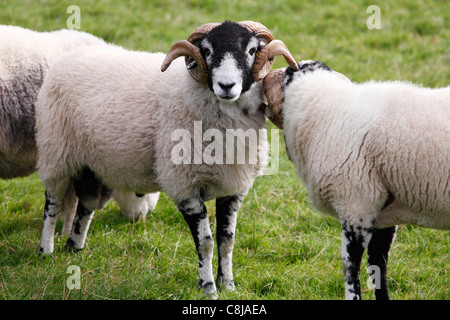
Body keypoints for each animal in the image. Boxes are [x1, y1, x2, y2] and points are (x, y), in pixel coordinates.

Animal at [264, 60, 450, 300]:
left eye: (287, 71)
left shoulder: (356, 204)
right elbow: (378, 267)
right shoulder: (384, 213)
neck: (328, 113)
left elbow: (350, 266)